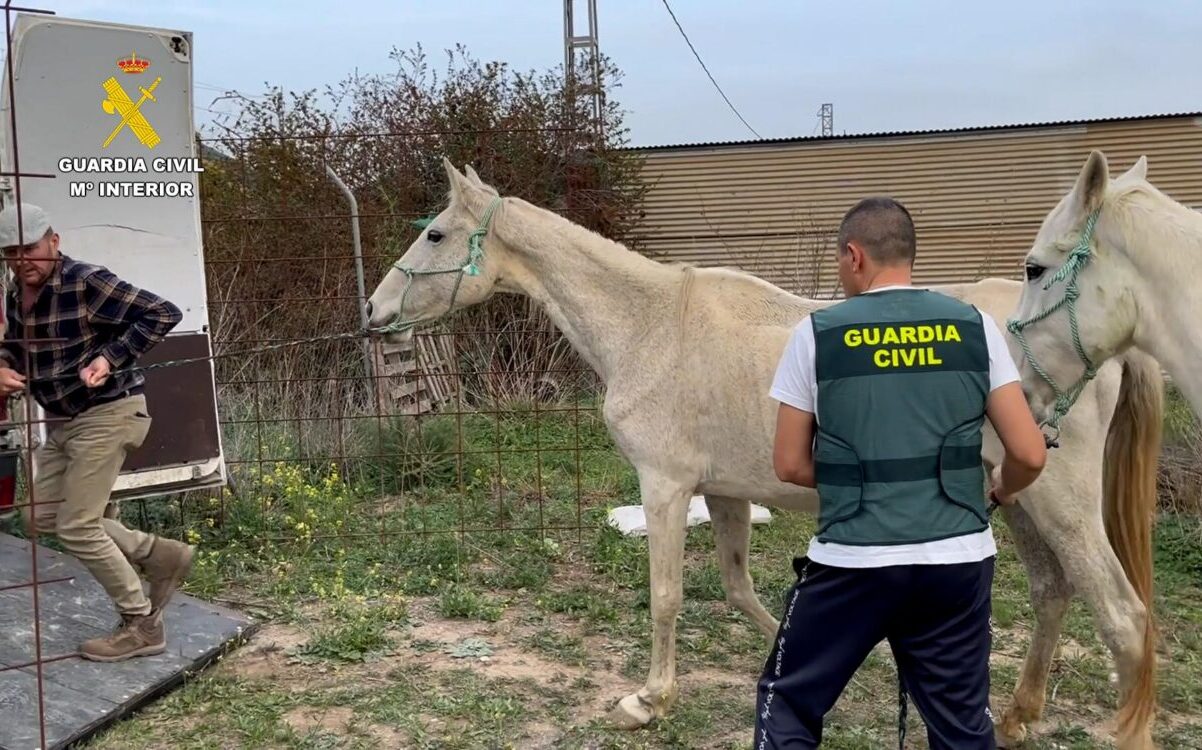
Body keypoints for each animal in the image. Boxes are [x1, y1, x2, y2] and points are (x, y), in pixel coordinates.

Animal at [366, 158, 1163, 749]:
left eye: (435, 235)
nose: (374, 312)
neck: (651, 324)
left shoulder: (664, 485)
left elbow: (667, 595)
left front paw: (649, 700)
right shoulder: (724, 491)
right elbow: (742, 589)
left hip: (1061, 504)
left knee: (1122, 618)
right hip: (1021, 497)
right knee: (1054, 592)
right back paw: (1019, 715)